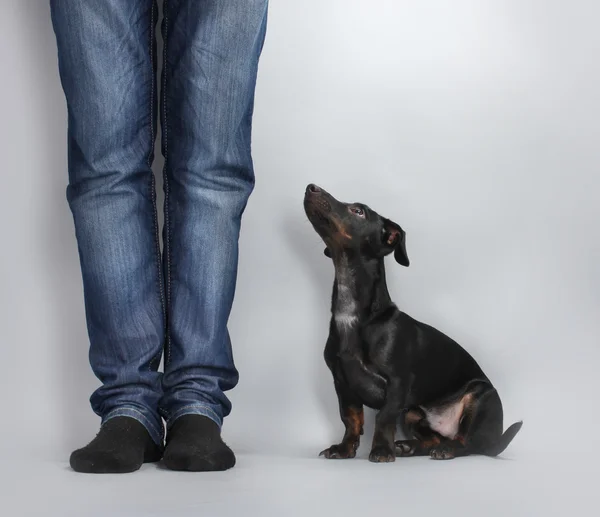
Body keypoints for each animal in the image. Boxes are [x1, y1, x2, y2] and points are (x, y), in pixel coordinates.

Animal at [304, 183, 520, 462]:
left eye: (359, 211)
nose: (311, 187)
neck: (352, 314)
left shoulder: (398, 384)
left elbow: (383, 418)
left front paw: (381, 450)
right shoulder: (342, 384)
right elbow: (350, 419)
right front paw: (344, 449)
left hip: (480, 398)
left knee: (469, 445)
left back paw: (446, 449)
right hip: (413, 414)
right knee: (433, 439)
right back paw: (409, 447)